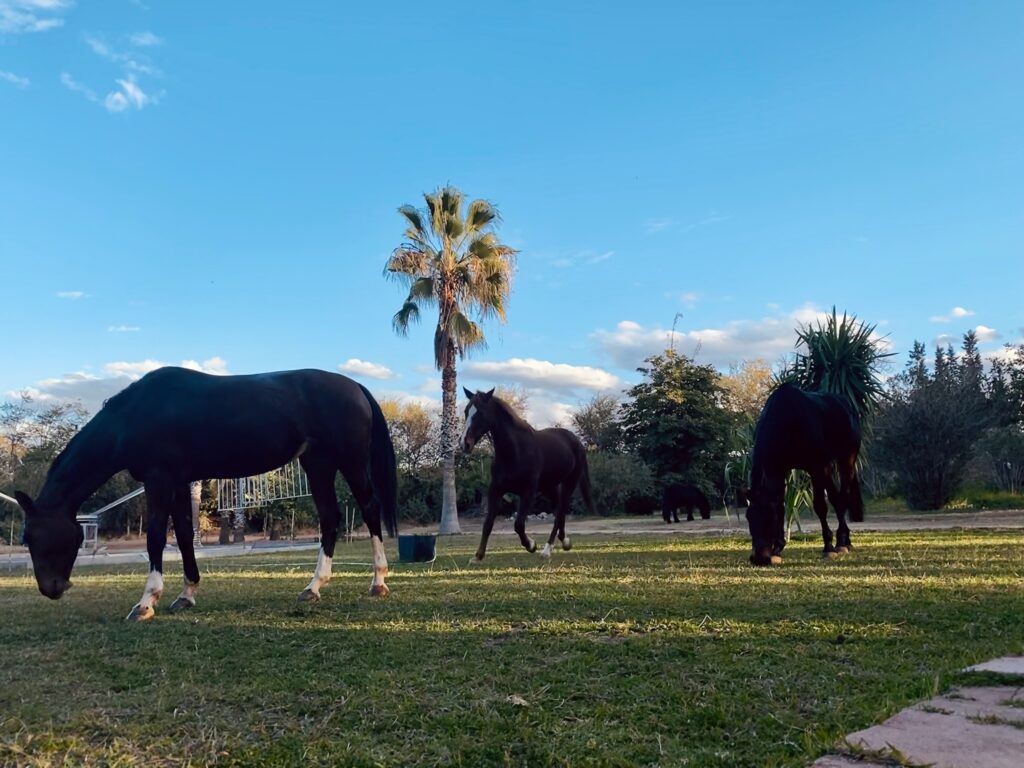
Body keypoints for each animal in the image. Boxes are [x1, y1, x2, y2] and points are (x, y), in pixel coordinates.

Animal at [15, 367, 398, 620]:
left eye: (37, 536)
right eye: (26, 538)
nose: (51, 588)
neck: (136, 414)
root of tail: (355, 386)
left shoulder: (159, 479)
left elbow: (156, 538)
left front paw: (146, 602)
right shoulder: (179, 482)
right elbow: (184, 535)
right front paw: (186, 595)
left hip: (349, 462)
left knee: (369, 508)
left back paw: (378, 582)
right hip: (318, 465)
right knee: (330, 518)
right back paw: (313, 588)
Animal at [461, 387, 595, 561]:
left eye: (481, 413)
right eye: (466, 411)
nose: (465, 443)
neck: (515, 451)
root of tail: (576, 441)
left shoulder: (528, 492)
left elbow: (518, 525)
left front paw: (531, 545)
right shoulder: (495, 490)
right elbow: (488, 523)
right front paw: (478, 556)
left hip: (569, 483)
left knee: (560, 513)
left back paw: (547, 549)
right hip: (550, 487)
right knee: (559, 511)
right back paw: (564, 541)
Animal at [745, 382, 864, 566]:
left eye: (769, 519)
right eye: (749, 517)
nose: (759, 558)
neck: (788, 421)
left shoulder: (816, 467)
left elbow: (820, 506)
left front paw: (828, 547)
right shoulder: (779, 470)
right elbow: (780, 506)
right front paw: (777, 549)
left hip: (846, 459)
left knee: (841, 497)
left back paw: (842, 542)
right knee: (836, 497)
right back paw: (846, 541)